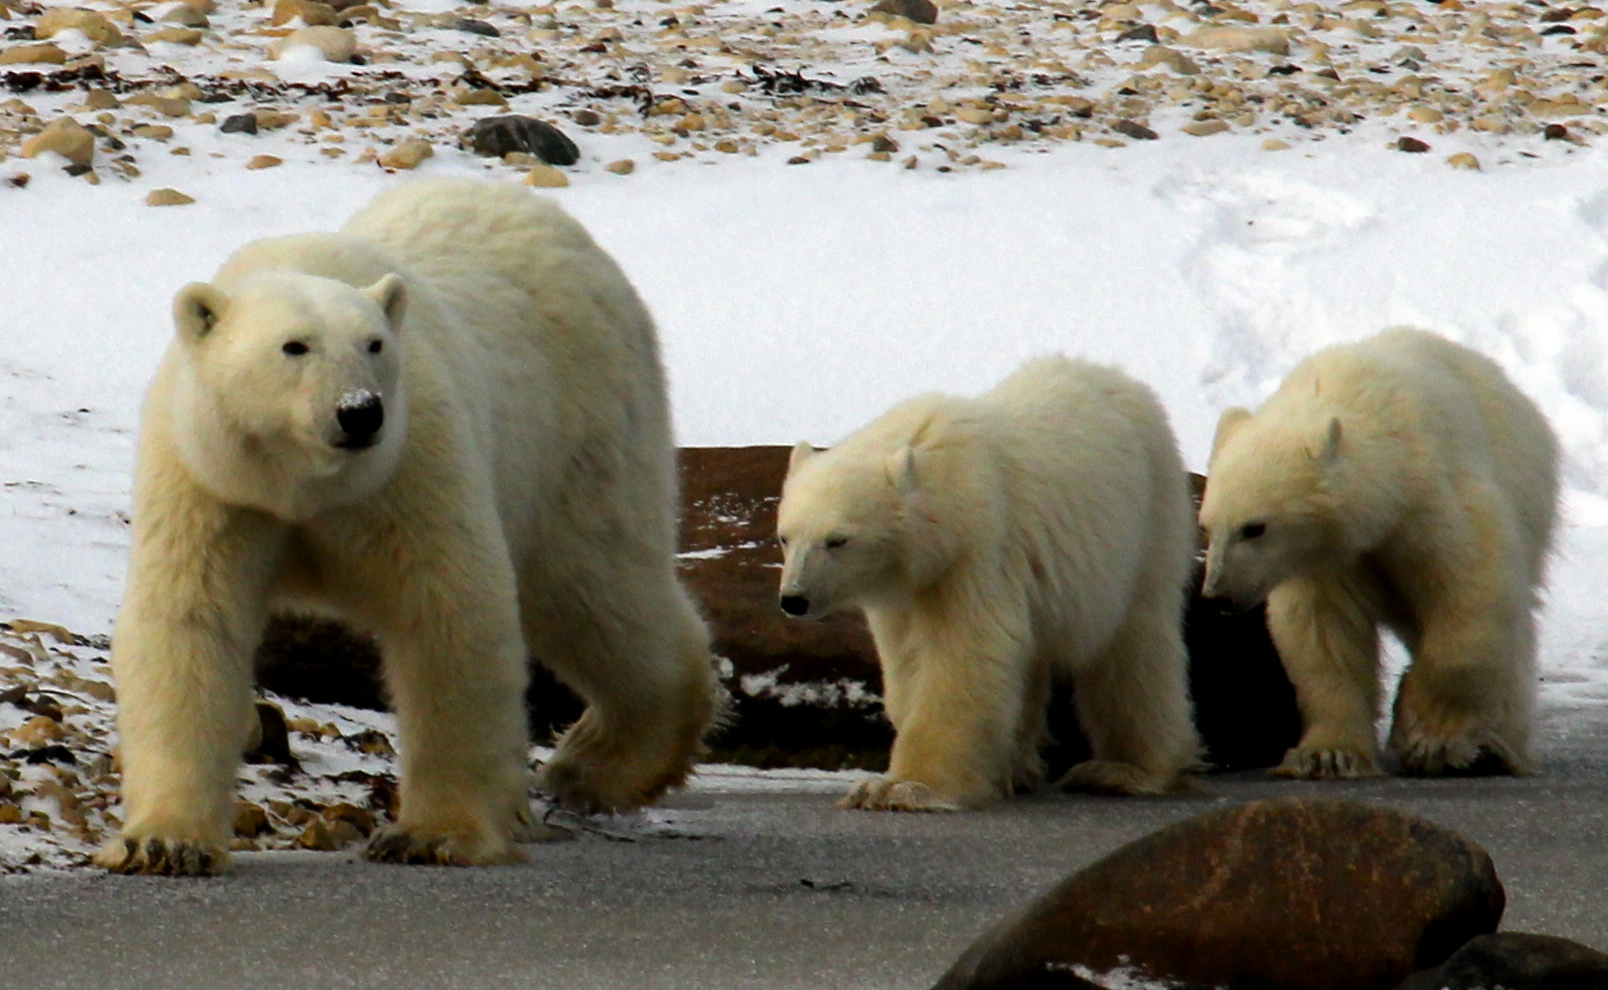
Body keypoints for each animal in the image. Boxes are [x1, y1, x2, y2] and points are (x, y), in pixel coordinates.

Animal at [91, 177, 713, 874]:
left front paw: (431, 835)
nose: (360, 412)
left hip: (579, 426)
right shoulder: (214, 483)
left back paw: (591, 767)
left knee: (593, 585)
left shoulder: (411, 465)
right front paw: (162, 842)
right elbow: (191, 621)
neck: (304, 482)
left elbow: (447, 612)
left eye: (375, 345)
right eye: (294, 346)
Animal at [771, 355, 1202, 813]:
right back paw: (1019, 767)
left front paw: (899, 788)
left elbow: (966, 651)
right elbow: (908, 660)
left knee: (1134, 645)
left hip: (1144, 527)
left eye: (837, 540)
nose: (794, 599)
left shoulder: (977, 550)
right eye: (785, 536)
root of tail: (1120, 378)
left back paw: (1124, 770)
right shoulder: (906, 586)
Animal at [1202, 329, 1550, 777]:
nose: (1219, 594)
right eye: (1206, 527)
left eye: (1254, 527)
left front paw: (1429, 737)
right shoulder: (1325, 558)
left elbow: (1469, 591)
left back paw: (1495, 745)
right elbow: (1324, 633)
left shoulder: (1432, 500)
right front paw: (1328, 755)